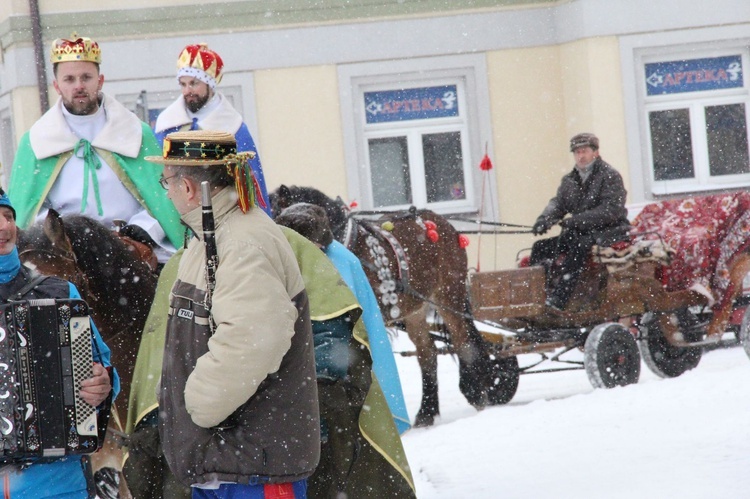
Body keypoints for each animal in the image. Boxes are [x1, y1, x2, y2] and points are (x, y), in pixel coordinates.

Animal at [270, 186, 494, 428]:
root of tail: (445, 224)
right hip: (415, 310)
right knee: (428, 353)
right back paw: (426, 412)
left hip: (449, 295)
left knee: (462, 341)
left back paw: (475, 394)